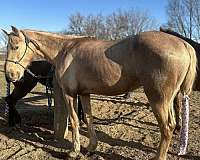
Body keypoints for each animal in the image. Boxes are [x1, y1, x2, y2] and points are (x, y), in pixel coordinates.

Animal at [3, 26, 197, 159]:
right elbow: (88, 119)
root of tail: (184, 44)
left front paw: (74, 151)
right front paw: (91, 147)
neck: (64, 49)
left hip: (158, 99)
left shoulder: (70, 94)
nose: (10, 75)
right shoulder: (84, 94)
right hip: (168, 99)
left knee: (167, 127)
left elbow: (74, 121)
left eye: (16, 46)